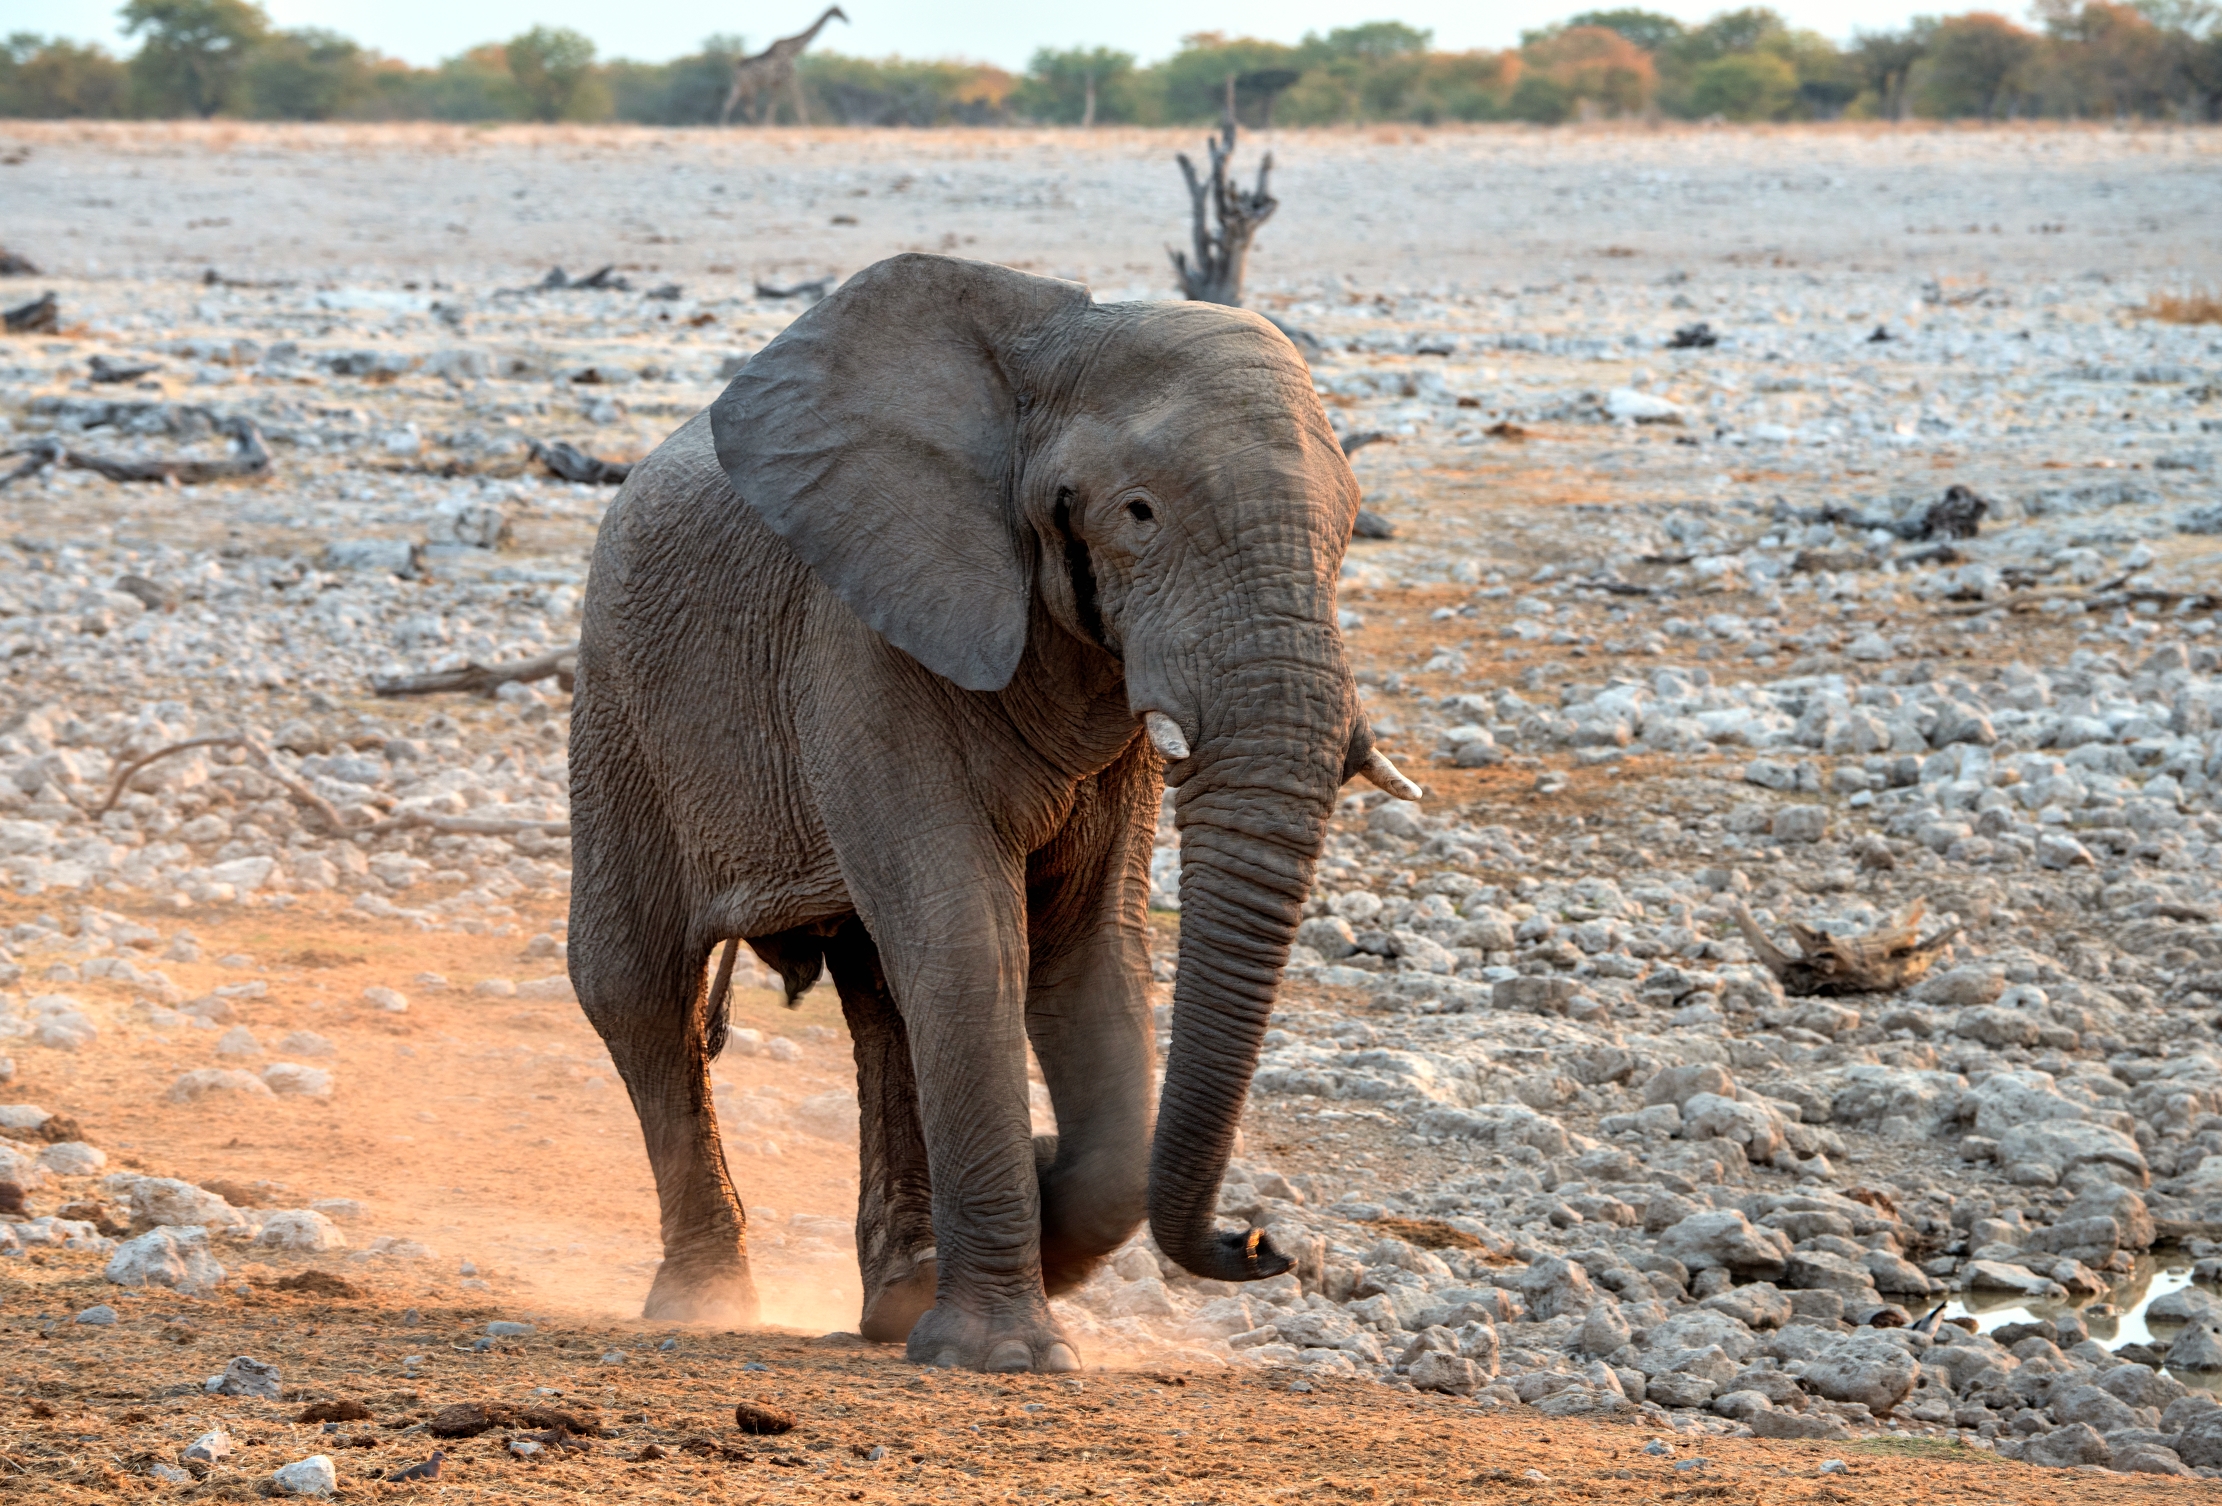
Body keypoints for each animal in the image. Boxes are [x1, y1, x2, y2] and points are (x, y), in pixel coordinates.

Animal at [566, 252, 1422, 1373]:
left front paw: (1038, 1225)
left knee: (879, 998)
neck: (1049, 351)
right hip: (616, 699)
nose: (1263, 1241)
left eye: (1349, 531)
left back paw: (896, 1300)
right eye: (1138, 514)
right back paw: (706, 1305)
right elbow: (972, 938)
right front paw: (1005, 1351)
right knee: (638, 986)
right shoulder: (860, 648)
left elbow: (1090, 953)